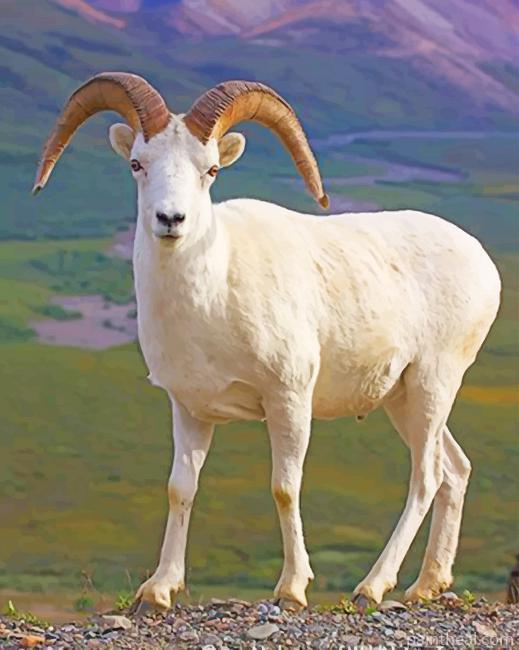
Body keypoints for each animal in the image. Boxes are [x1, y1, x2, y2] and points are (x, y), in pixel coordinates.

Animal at [34, 72, 501, 610]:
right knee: (455, 470)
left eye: (211, 169)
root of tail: (482, 261)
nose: (171, 220)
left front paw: (292, 589)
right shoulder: (189, 410)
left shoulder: (288, 400)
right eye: (137, 164)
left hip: (432, 385)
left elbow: (284, 487)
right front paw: (159, 590)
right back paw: (427, 585)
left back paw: (372, 586)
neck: (212, 297)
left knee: (426, 479)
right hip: (402, 400)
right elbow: (180, 488)